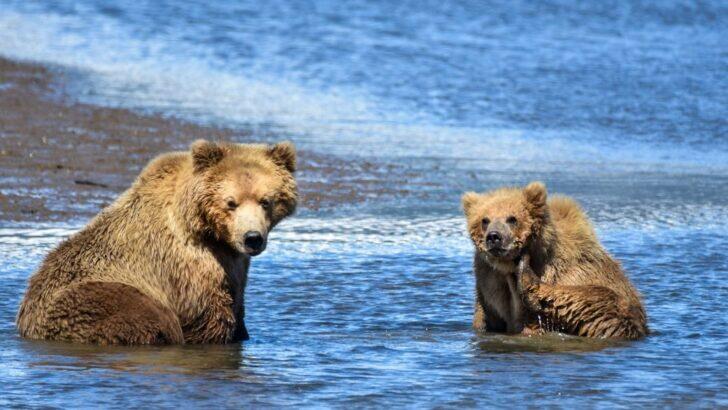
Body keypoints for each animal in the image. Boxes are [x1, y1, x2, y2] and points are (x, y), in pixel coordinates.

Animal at [16, 139, 298, 345]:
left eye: (266, 200)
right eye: (231, 202)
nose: (252, 238)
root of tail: (26, 322)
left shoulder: (234, 264)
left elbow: (238, 306)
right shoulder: (188, 266)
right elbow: (208, 318)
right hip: (96, 296)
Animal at [462, 182, 648, 340]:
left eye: (512, 218)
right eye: (485, 220)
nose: (494, 237)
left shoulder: (566, 270)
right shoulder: (489, 285)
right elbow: (485, 320)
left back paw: (527, 278)